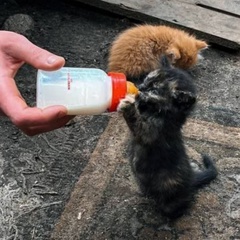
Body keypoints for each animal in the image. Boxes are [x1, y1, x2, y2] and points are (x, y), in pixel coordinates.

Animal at [117, 56, 218, 219]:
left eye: (154, 90)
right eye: (146, 79)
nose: (140, 87)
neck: (162, 114)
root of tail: (192, 180)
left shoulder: (150, 132)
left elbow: (137, 122)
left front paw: (128, 105)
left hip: (172, 199)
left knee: (177, 207)